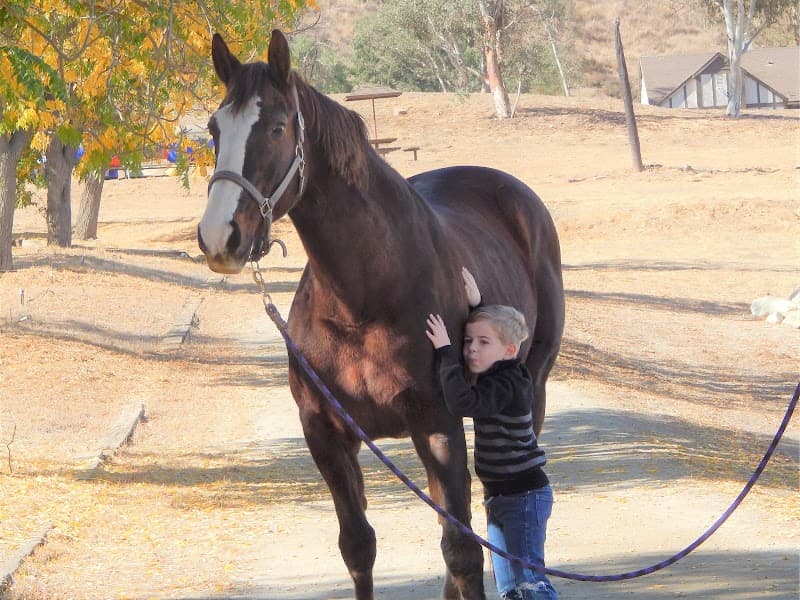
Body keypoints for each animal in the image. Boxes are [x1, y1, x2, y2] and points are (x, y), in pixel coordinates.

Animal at [197, 30, 564, 600]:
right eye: (215, 128)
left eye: (277, 126)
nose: (220, 238)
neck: (362, 300)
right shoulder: (325, 432)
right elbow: (358, 546)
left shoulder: (437, 425)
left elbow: (462, 548)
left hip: (532, 390)